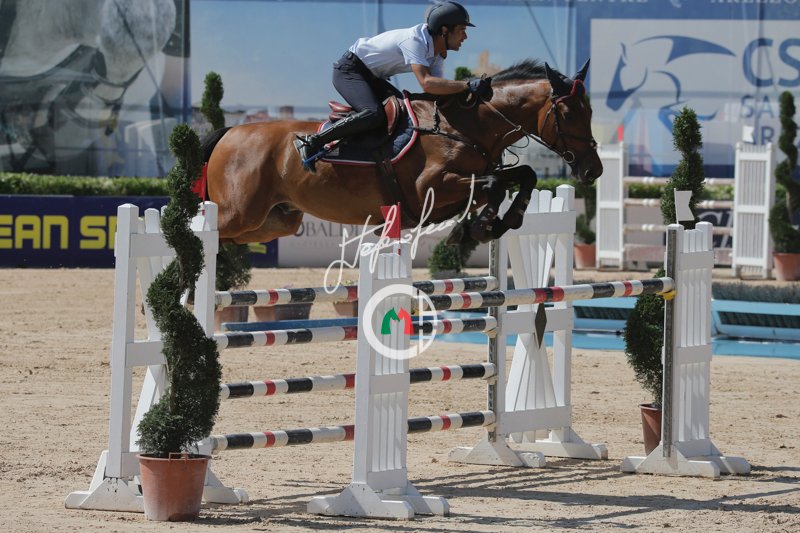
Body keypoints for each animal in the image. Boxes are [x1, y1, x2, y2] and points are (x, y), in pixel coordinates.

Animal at [203, 58, 603, 245]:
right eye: (569, 114)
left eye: (591, 112)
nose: (593, 170)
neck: (465, 125)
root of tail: (229, 133)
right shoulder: (430, 187)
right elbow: (493, 184)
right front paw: (480, 226)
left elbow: (522, 175)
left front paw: (501, 223)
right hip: (241, 213)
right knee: (205, 232)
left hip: (275, 222)